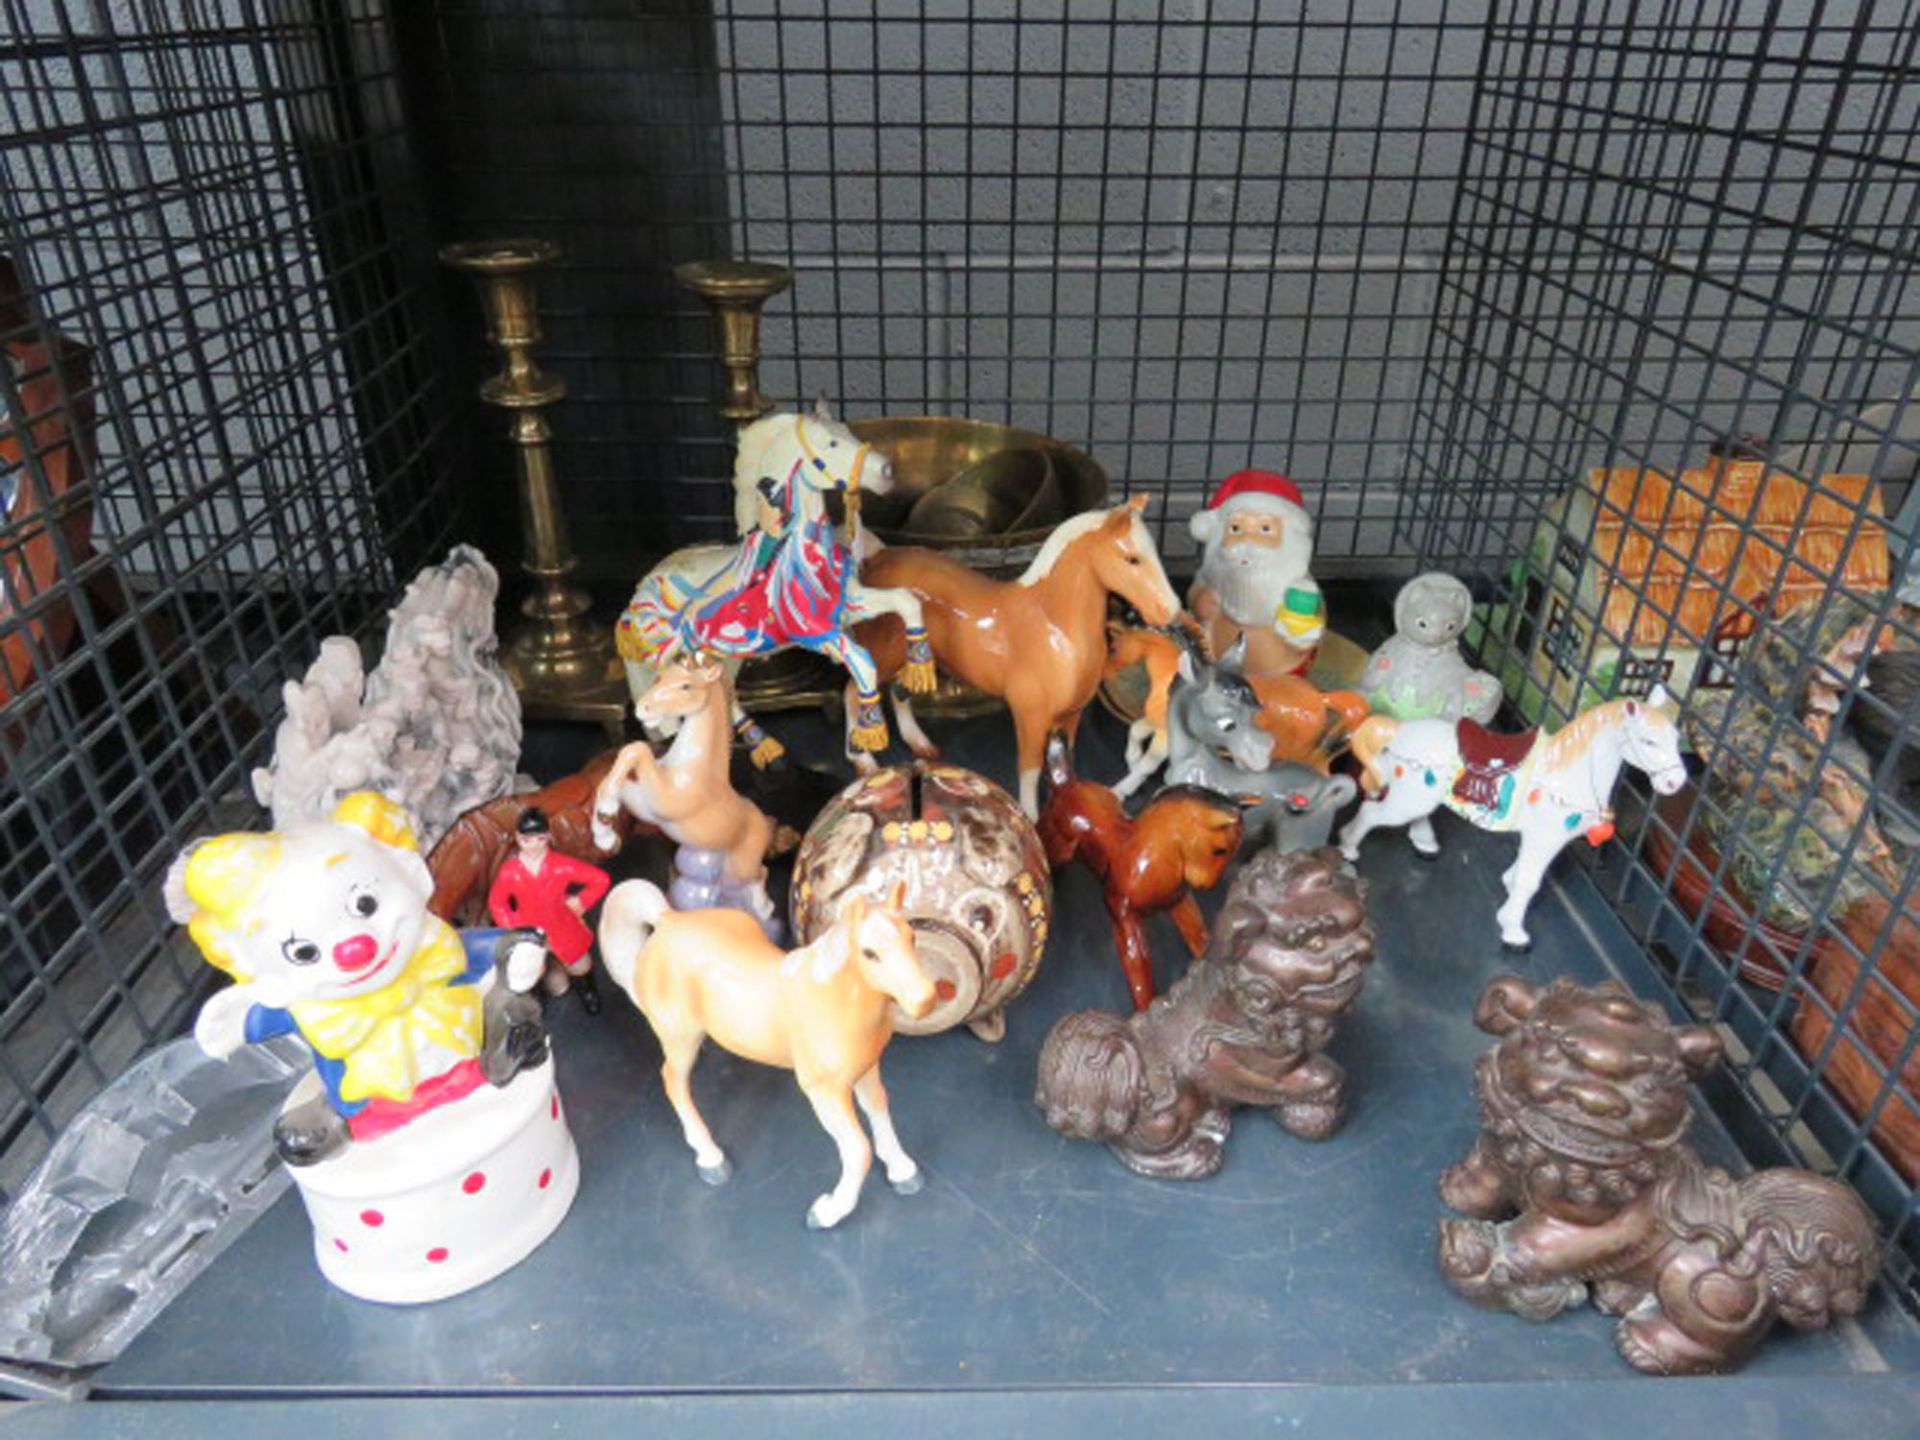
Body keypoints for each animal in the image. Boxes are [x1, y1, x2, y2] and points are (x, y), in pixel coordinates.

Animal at [856, 495, 1182, 817]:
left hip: (912, 660)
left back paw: (920, 744)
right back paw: (866, 765)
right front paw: (1032, 817)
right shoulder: (1030, 714)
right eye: (1132, 559)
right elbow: (1030, 769)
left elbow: (1063, 759)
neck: (1054, 628)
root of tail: (879, 558)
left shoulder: (1071, 714)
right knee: (856, 693)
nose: (1171, 611)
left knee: (898, 693)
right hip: (882, 652)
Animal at [1044, 852, 1374, 1175]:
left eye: (1361, 922)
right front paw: (1323, 1099)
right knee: (1133, 1147)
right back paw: (1194, 1156)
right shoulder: (1230, 1061)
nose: (1359, 951)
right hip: (1169, 1106)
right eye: (1315, 942)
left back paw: (1212, 1122)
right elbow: (1316, 1077)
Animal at [1443, 975, 1873, 1382]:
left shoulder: (1614, 1223)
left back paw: (1646, 1346)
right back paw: (1617, 1297)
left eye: (1649, 1086)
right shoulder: (1497, 1160)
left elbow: (1543, 1241)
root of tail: (1772, 1253)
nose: (1597, 1103)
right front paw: (1454, 1191)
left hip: (1704, 1284)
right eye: (1551, 1050)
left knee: (1717, 1341)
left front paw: (1471, 1251)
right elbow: (1483, 1176)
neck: (1553, 1161)